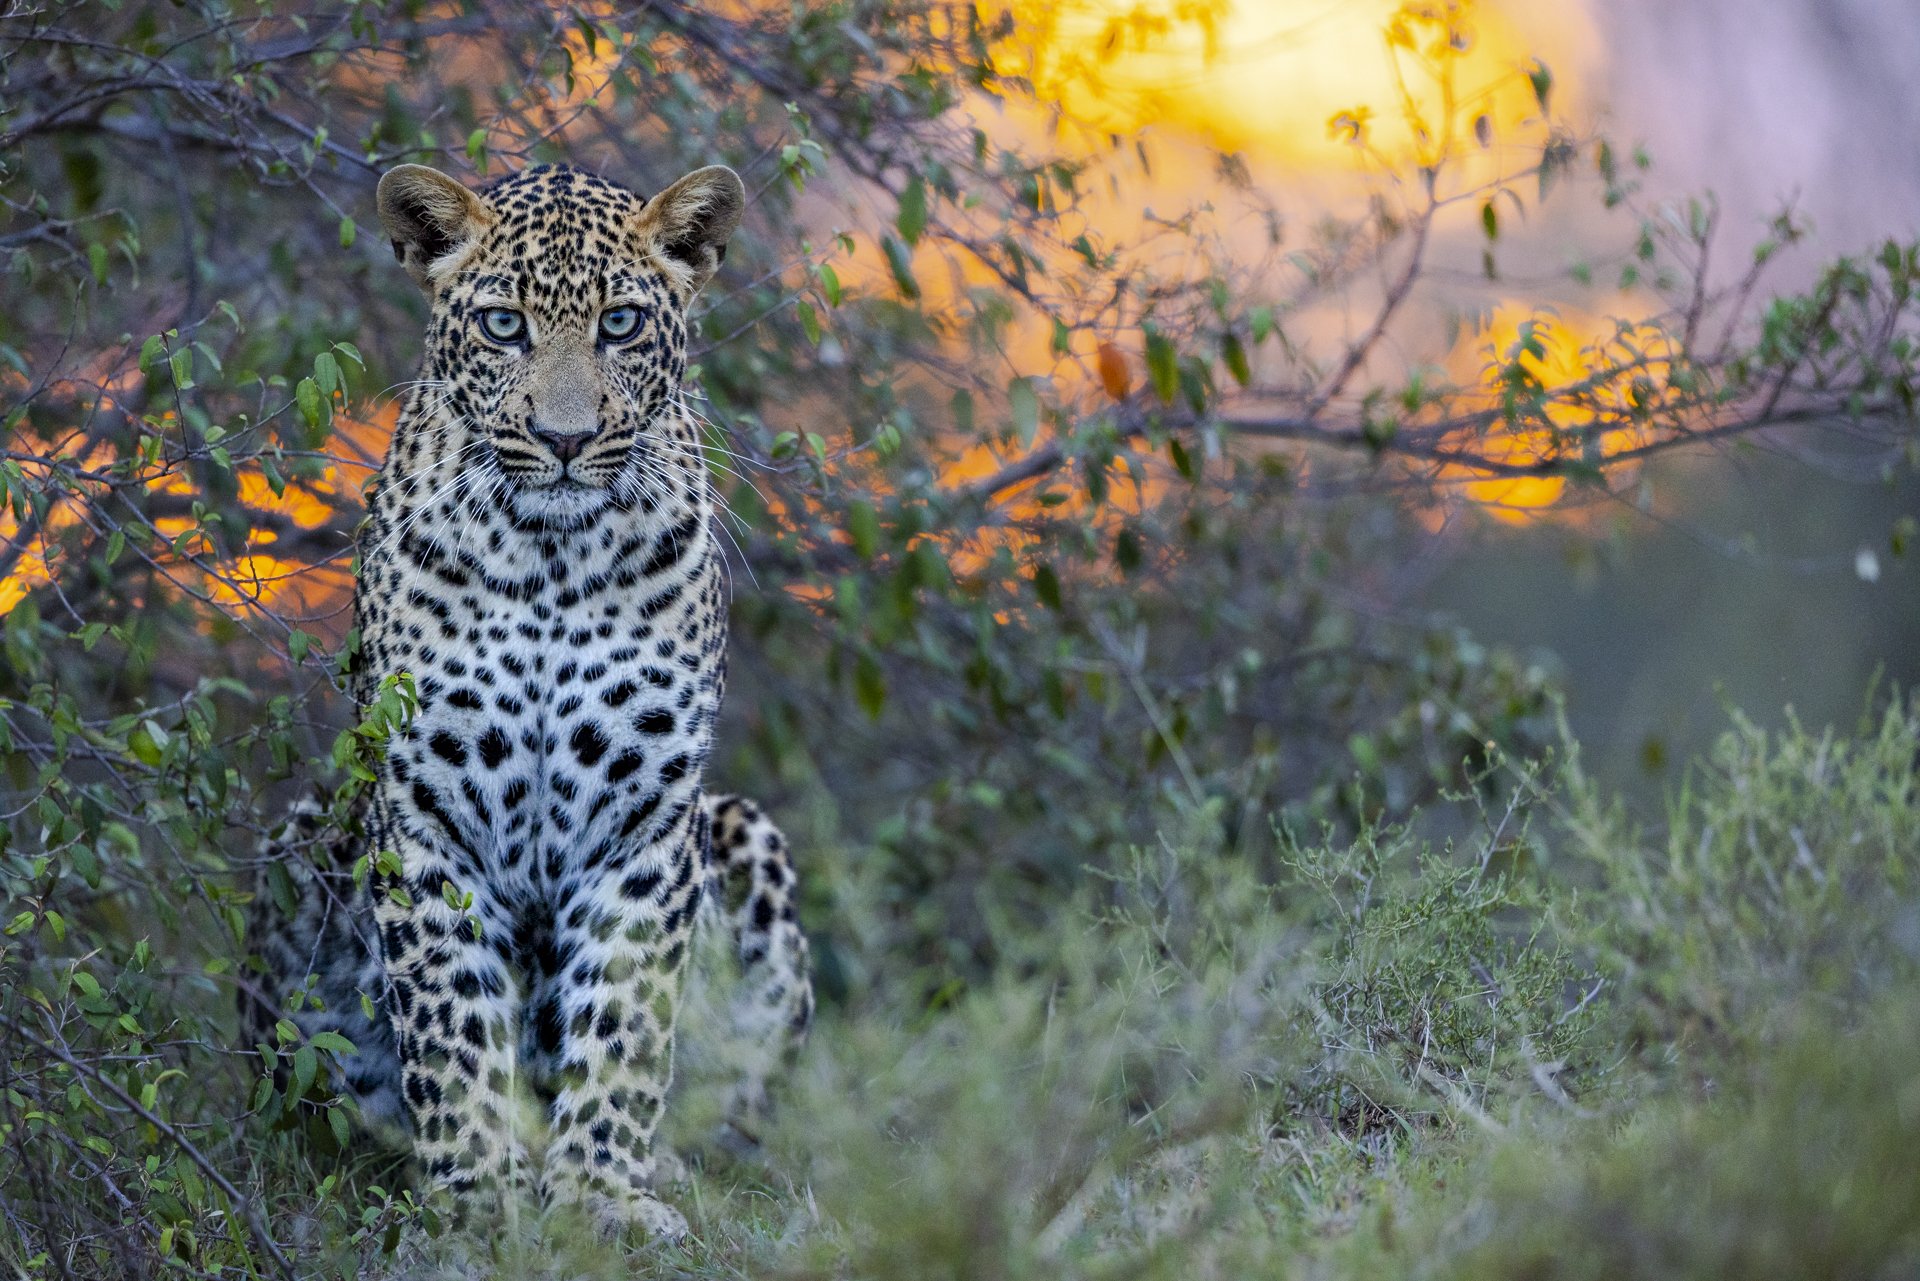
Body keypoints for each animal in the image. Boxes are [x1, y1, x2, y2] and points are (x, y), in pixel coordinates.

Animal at [240, 160, 813, 1243]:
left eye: (622, 324)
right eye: (504, 326)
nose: (563, 439)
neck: (552, 559)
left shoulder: (646, 824)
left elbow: (624, 1026)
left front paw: (598, 1196)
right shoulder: (422, 815)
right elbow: (450, 1023)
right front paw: (476, 1191)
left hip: (745, 834)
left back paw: (669, 1166)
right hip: (301, 845)